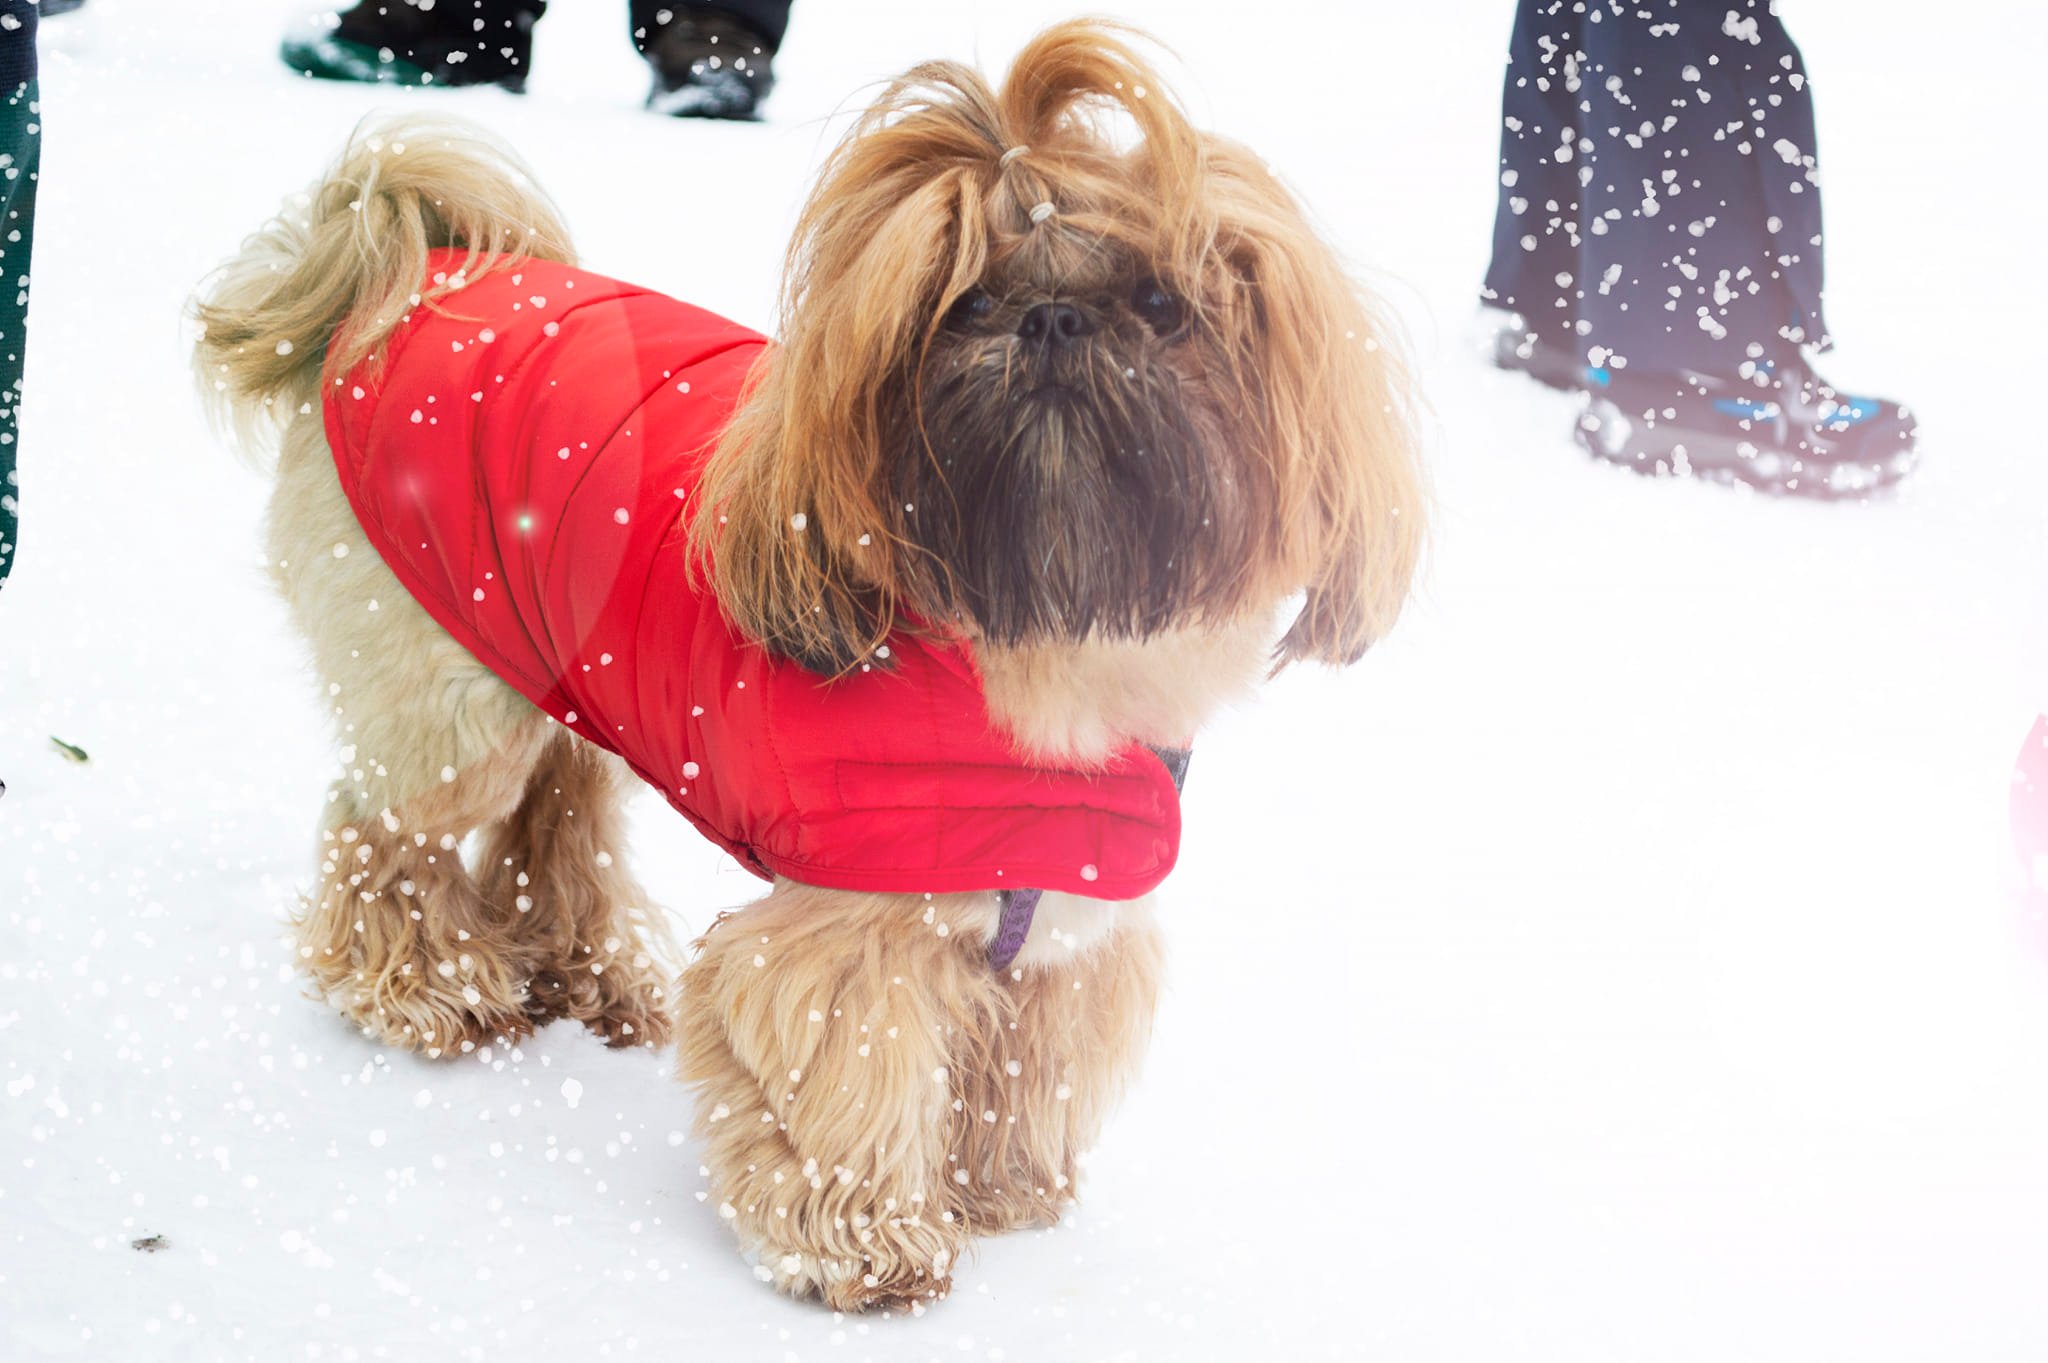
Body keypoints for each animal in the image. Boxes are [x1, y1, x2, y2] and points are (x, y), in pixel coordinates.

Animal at [192, 18, 1425, 1309]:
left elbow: (1024, 1069)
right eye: (964, 298)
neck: (1028, 656)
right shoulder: (846, 938)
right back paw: (421, 984)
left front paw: (998, 1190)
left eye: (1158, 299)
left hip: (559, 672)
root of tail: (410, 272)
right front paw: (867, 1244)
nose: (1048, 320)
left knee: (557, 814)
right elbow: (847, 1084)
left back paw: (583, 972)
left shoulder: (1064, 930)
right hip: (452, 692)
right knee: (385, 828)